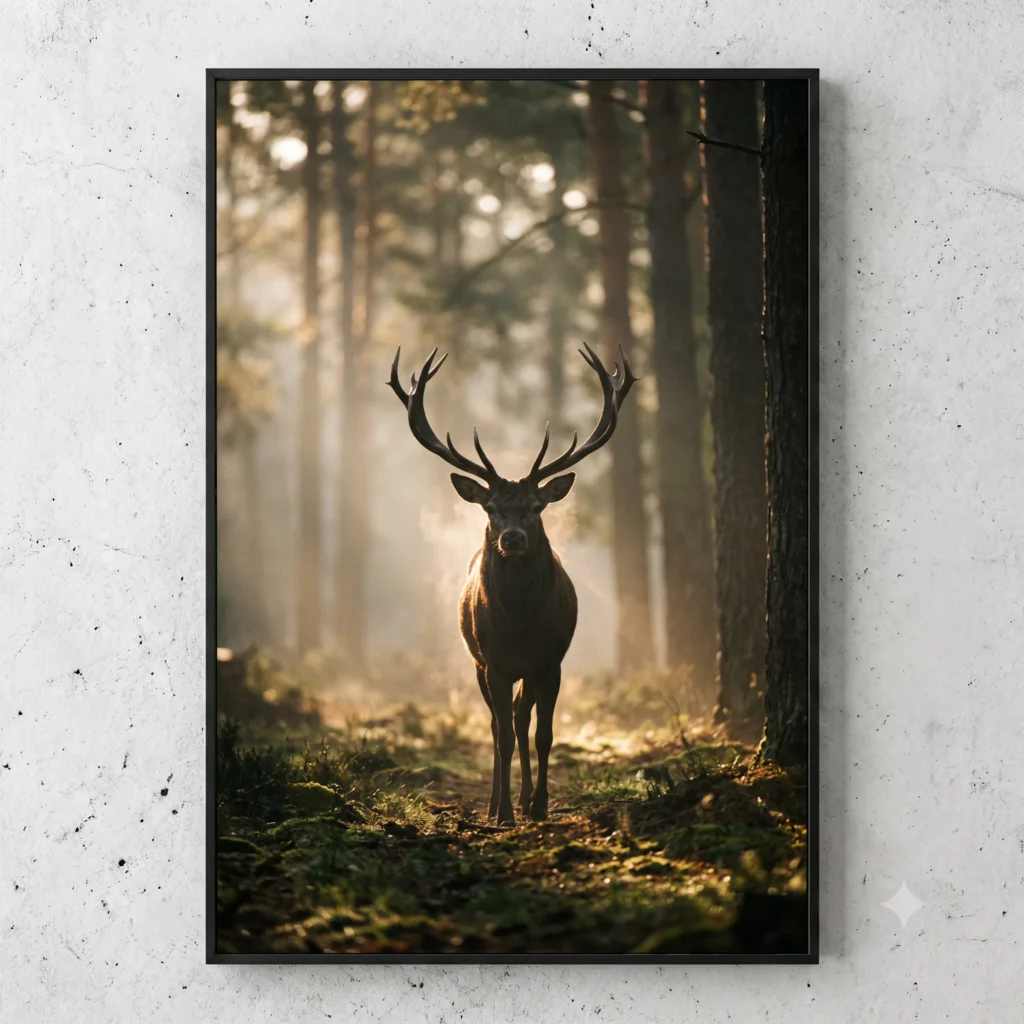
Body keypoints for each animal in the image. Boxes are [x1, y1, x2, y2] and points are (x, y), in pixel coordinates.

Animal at [387, 342, 636, 825]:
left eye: (537, 506)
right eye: (490, 508)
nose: (513, 538)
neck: (520, 625)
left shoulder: (551, 660)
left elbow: (544, 734)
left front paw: (537, 805)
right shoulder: (495, 662)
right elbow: (500, 734)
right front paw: (502, 812)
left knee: (523, 721)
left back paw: (524, 798)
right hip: (477, 662)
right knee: (498, 725)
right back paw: (497, 802)